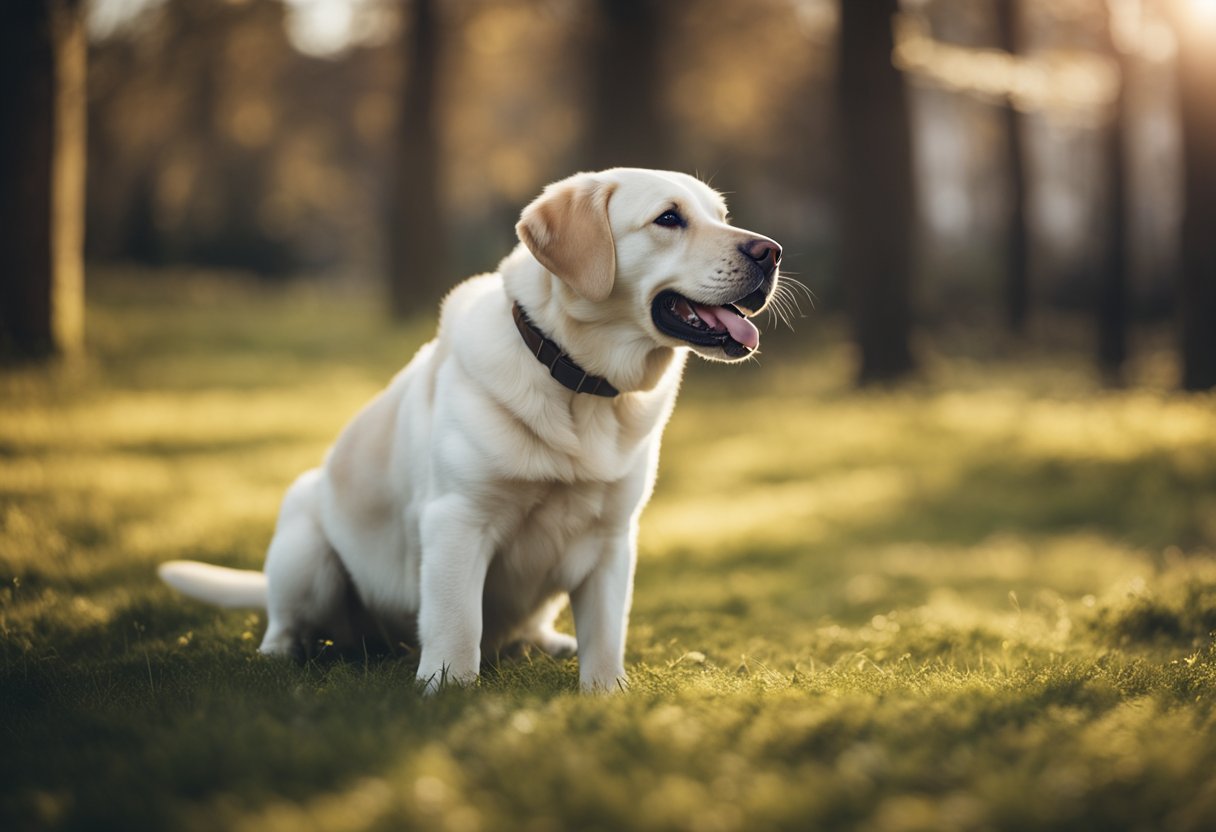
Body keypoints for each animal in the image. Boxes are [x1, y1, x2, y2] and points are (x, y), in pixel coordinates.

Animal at [161, 165, 783, 690]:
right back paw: (279, 655)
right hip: (306, 549)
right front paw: (449, 694)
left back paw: (552, 643)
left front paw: (605, 694)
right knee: (288, 622)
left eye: (721, 215)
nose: (771, 251)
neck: (577, 383)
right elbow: (458, 628)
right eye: (669, 218)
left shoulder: (612, 540)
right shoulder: (458, 521)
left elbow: (606, 637)